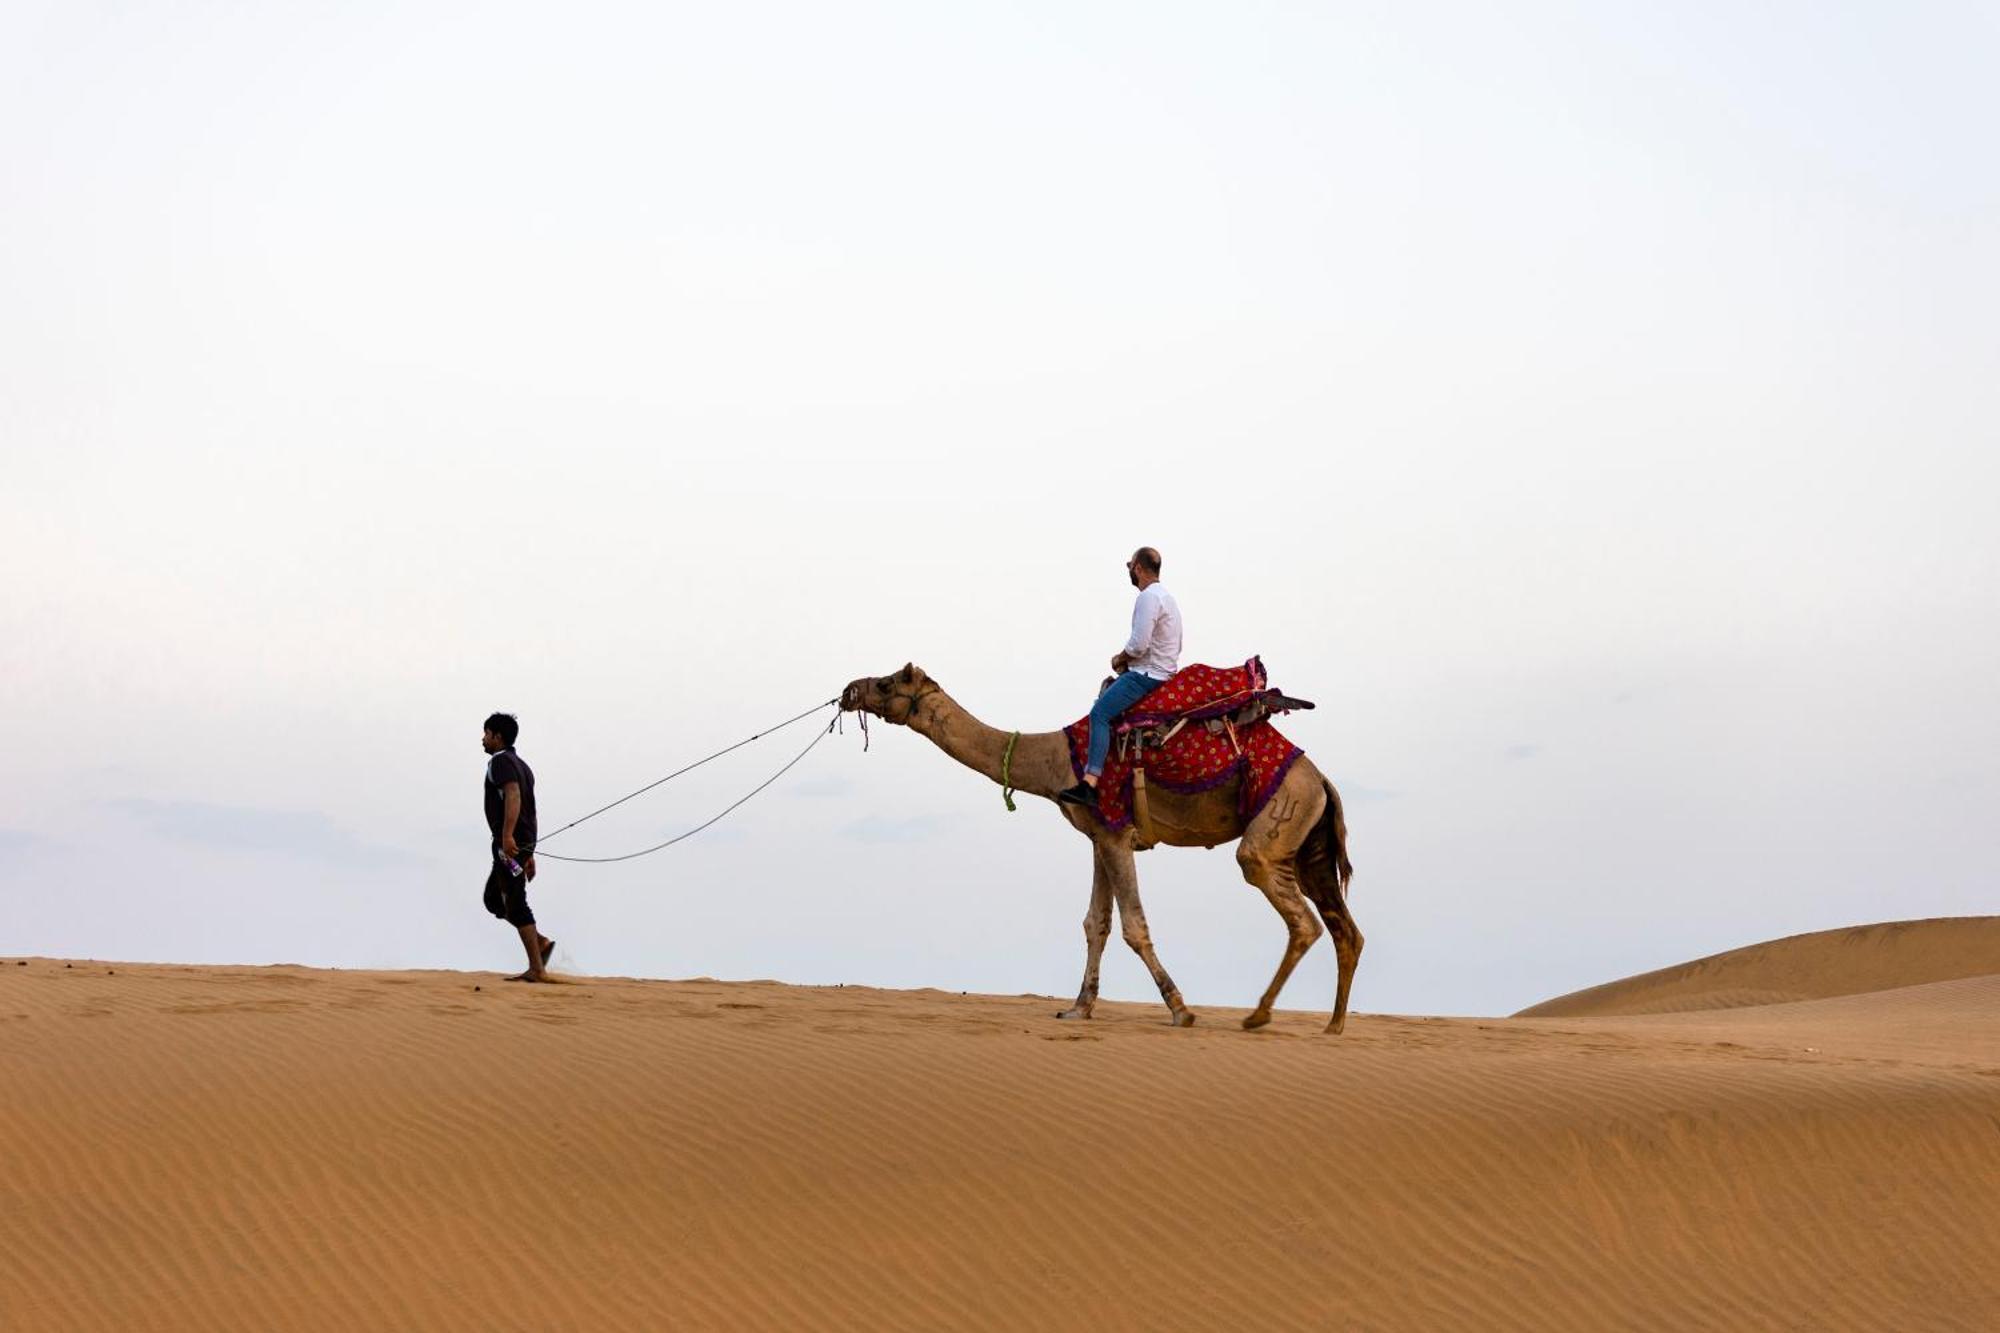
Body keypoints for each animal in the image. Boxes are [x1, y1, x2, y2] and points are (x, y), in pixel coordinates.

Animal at [828, 664, 1360, 1024]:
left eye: (888, 683)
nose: (849, 690)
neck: (1054, 760)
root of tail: (1322, 780)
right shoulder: (1099, 834)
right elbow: (1095, 924)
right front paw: (1079, 1008)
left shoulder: (1116, 832)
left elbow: (1133, 926)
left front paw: (1180, 1009)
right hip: (1309, 840)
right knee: (1343, 928)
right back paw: (1331, 1027)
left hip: (1278, 818)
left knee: (1297, 913)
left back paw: (1258, 1016)